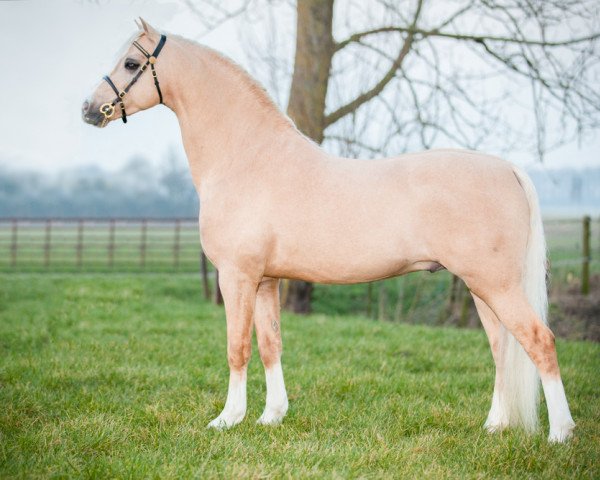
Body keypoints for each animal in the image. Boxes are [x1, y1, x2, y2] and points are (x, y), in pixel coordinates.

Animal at [82, 21, 576, 442]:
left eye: (131, 63)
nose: (89, 110)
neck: (247, 158)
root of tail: (507, 168)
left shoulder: (236, 277)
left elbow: (237, 347)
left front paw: (227, 419)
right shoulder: (266, 280)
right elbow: (270, 344)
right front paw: (271, 417)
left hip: (496, 285)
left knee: (540, 342)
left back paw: (560, 433)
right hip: (481, 288)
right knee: (502, 348)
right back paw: (496, 426)